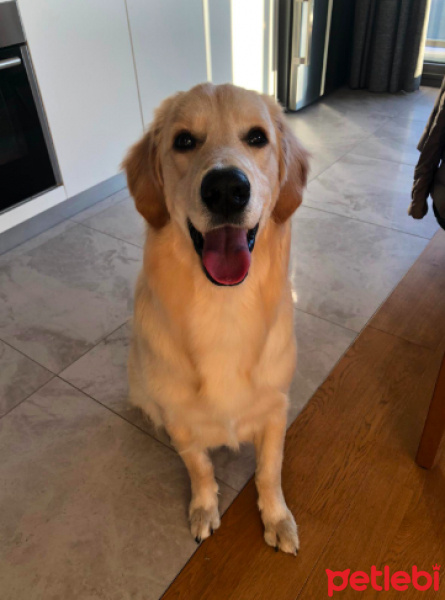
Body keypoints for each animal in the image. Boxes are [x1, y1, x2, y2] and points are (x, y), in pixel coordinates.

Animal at [123, 83, 306, 552]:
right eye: (184, 140)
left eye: (257, 137)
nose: (226, 189)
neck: (225, 305)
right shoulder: (182, 421)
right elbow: (199, 468)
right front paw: (204, 509)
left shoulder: (275, 409)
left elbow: (269, 471)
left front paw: (276, 518)